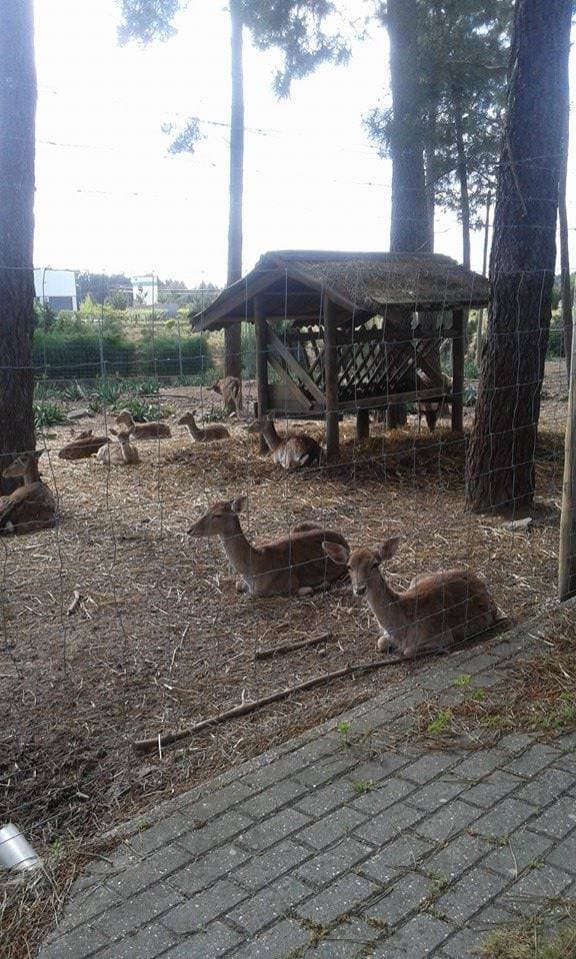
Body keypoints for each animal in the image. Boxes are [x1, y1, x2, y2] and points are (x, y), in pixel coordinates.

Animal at [322, 536, 506, 664]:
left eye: (375, 564)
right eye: (349, 566)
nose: (359, 589)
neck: (402, 628)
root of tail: (481, 582)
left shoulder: (442, 635)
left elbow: (408, 651)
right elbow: (380, 642)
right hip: (417, 578)